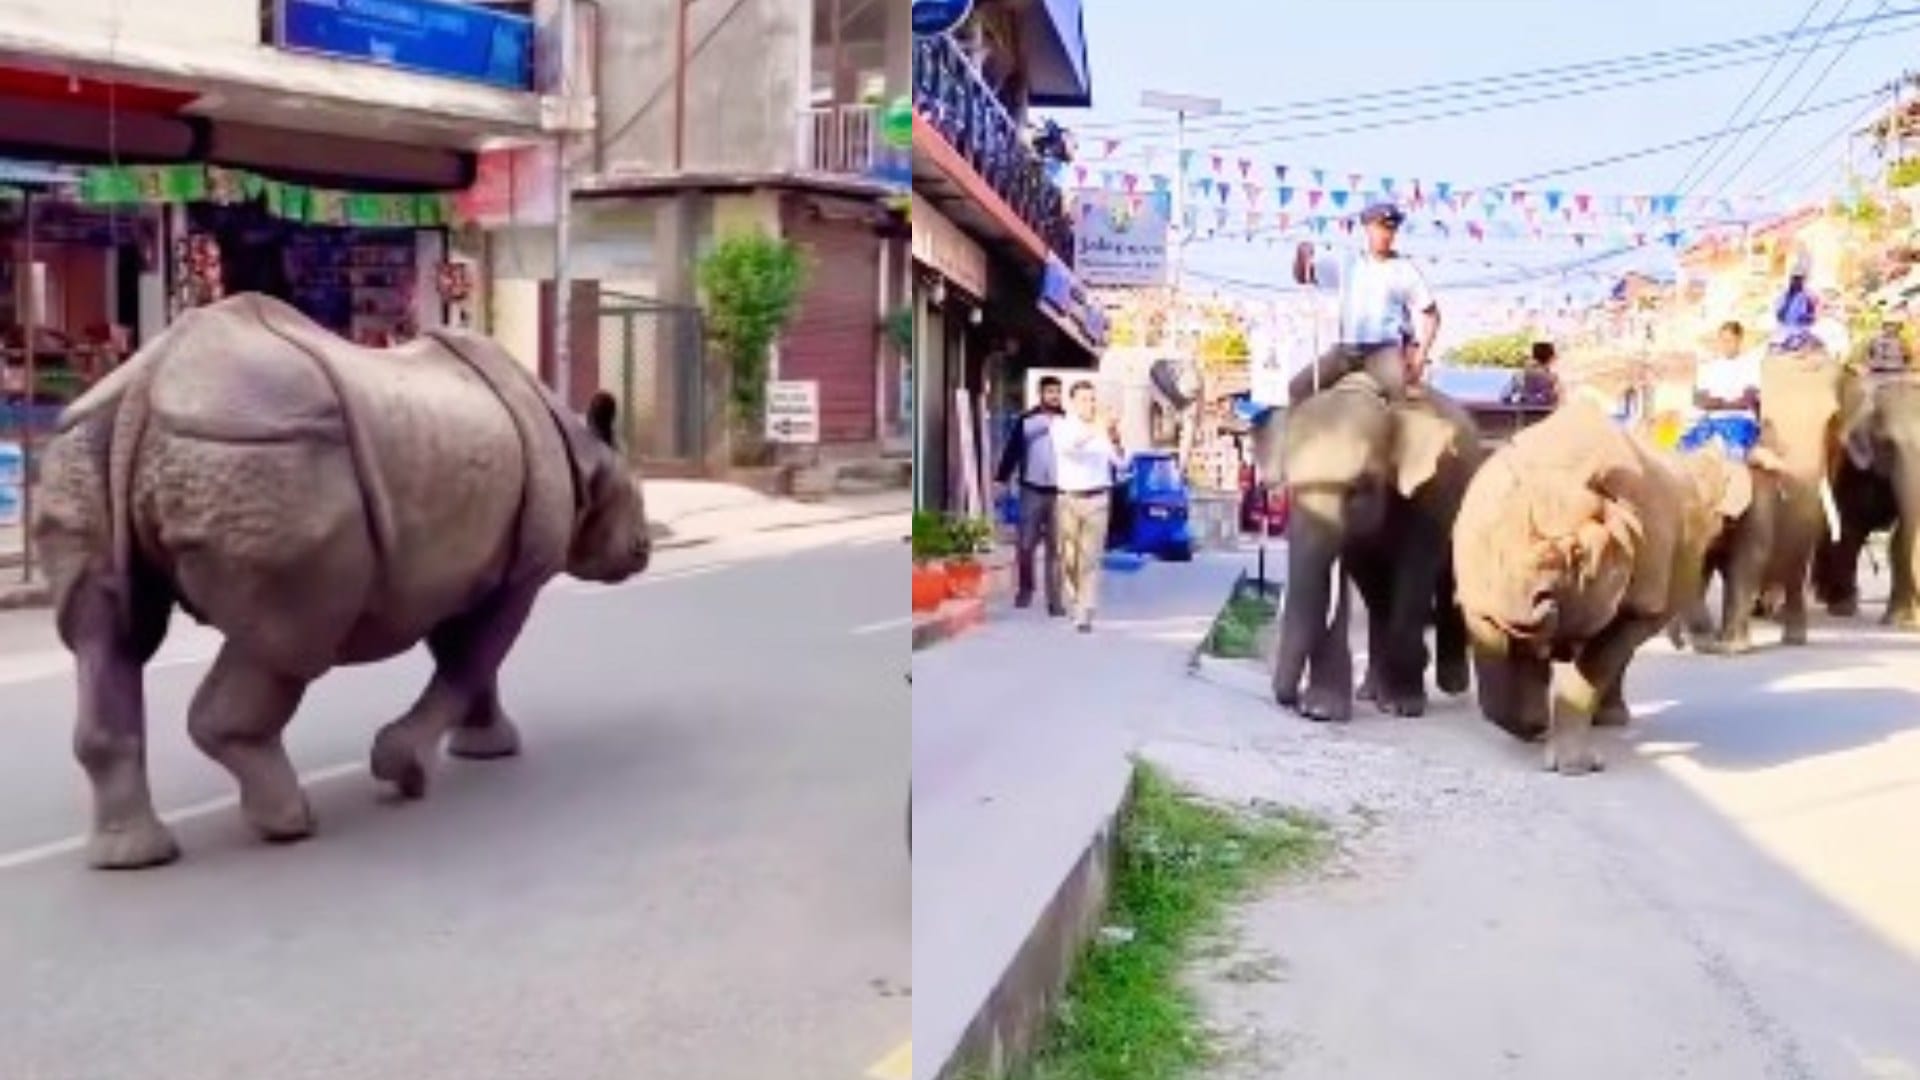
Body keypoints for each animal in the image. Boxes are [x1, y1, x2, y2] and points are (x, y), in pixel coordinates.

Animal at [31, 293, 653, 870]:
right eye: (637, 497)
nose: (644, 550)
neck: (584, 456)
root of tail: (148, 381)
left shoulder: (459, 568)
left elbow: (469, 662)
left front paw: (486, 749)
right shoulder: (519, 574)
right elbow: (471, 660)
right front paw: (404, 768)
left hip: (90, 442)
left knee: (107, 636)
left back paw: (133, 856)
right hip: (270, 454)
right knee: (288, 641)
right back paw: (290, 825)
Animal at [1267, 376, 1484, 723]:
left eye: (1358, 488)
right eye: (1289, 487)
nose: (1292, 701)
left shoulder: (1430, 496)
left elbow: (1414, 575)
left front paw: (1402, 706)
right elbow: (1350, 577)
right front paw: (1321, 710)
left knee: (1448, 579)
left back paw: (1451, 683)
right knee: (1377, 597)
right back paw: (1371, 690)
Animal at [1453, 397, 1751, 775]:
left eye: (1578, 555)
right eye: (1498, 550)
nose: (1527, 603)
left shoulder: (1639, 603)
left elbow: (1594, 668)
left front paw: (1574, 767)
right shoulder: (1481, 599)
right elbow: (1497, 663)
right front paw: (1531, 724)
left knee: (1618, 653)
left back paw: (1609, 721)